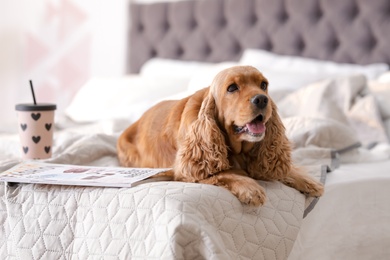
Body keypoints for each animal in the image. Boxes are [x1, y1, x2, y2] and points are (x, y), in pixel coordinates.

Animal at [117, 65, 324, 205]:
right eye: (232, 88)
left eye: (264, 85)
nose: (262, 99)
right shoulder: (186, 170)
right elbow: (224, 173)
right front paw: (249, 187)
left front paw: (306, 180)